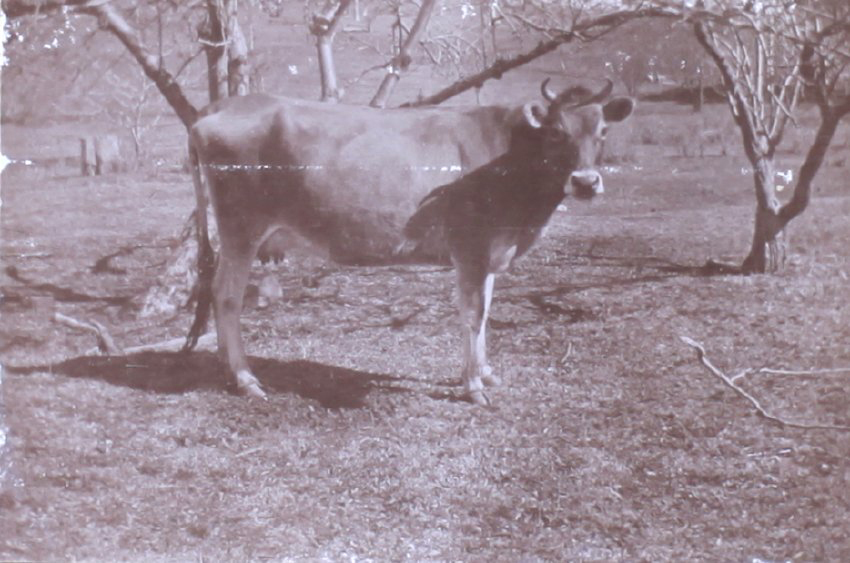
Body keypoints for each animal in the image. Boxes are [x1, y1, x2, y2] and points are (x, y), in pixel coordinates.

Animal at [183, 79, 634, 405]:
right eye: (557, 132)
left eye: (603, 130)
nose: (585, 182)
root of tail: (223, 105)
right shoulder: (470, 246)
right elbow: (473, 313)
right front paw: (473, 386)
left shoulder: (490, 250)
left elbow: (487, 309)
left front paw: (485, 372)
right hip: (241, 228)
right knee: (226, 295)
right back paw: (245, 379)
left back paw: (226, 367)